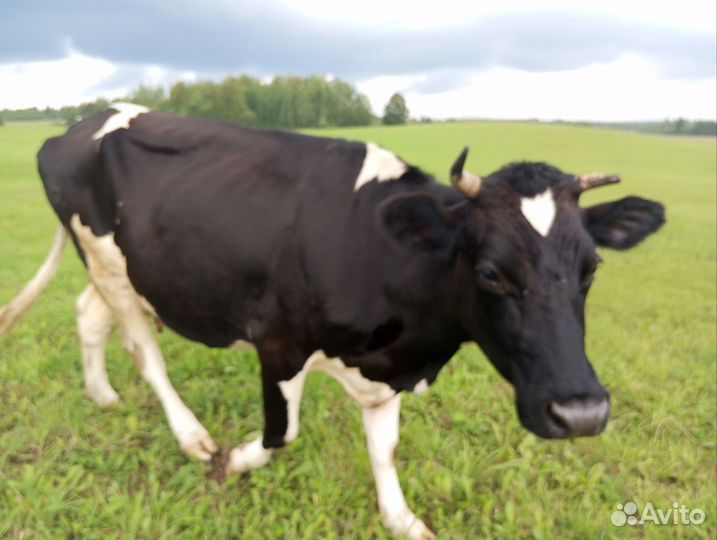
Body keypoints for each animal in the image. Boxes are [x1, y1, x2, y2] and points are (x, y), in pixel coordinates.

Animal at [0, 103, 665, 538]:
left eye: (592, 268)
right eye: (491, 272)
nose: (582, 413)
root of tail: (85, 119)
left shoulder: (389, 367)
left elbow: (385, 449)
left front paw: (403, 519)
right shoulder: (277, 340)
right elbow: (282, 433)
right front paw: (233, 463)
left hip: (123, 271)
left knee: (90, 315)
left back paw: (102, 394)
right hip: (107, 260)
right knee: (145, 351)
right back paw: (191, 436)